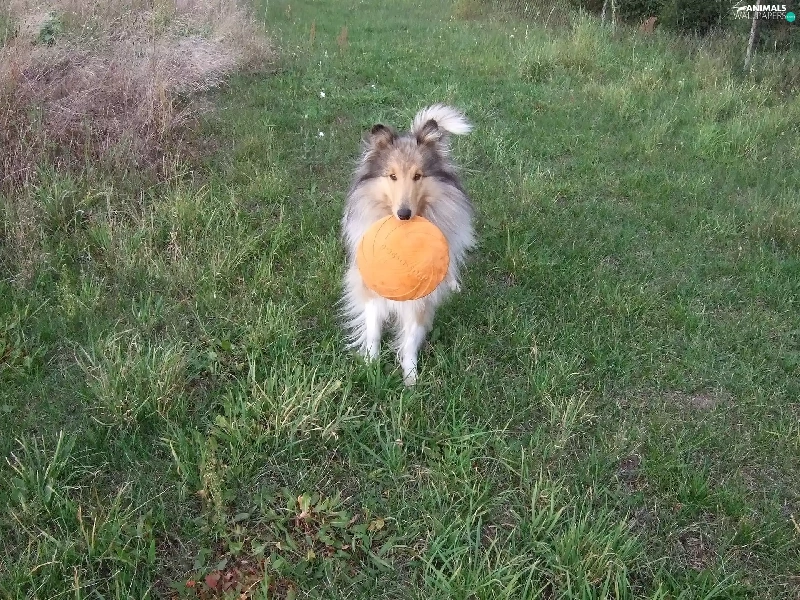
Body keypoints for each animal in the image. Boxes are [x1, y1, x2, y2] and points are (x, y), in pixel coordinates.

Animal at [339, 104, 475, 386]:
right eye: (392, 176)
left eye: (418, 176)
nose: (404, 214)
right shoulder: (371, 286)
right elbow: (373, 329)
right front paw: (371, 365)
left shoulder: (421, 296)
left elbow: (411, 336)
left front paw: (410, 379)